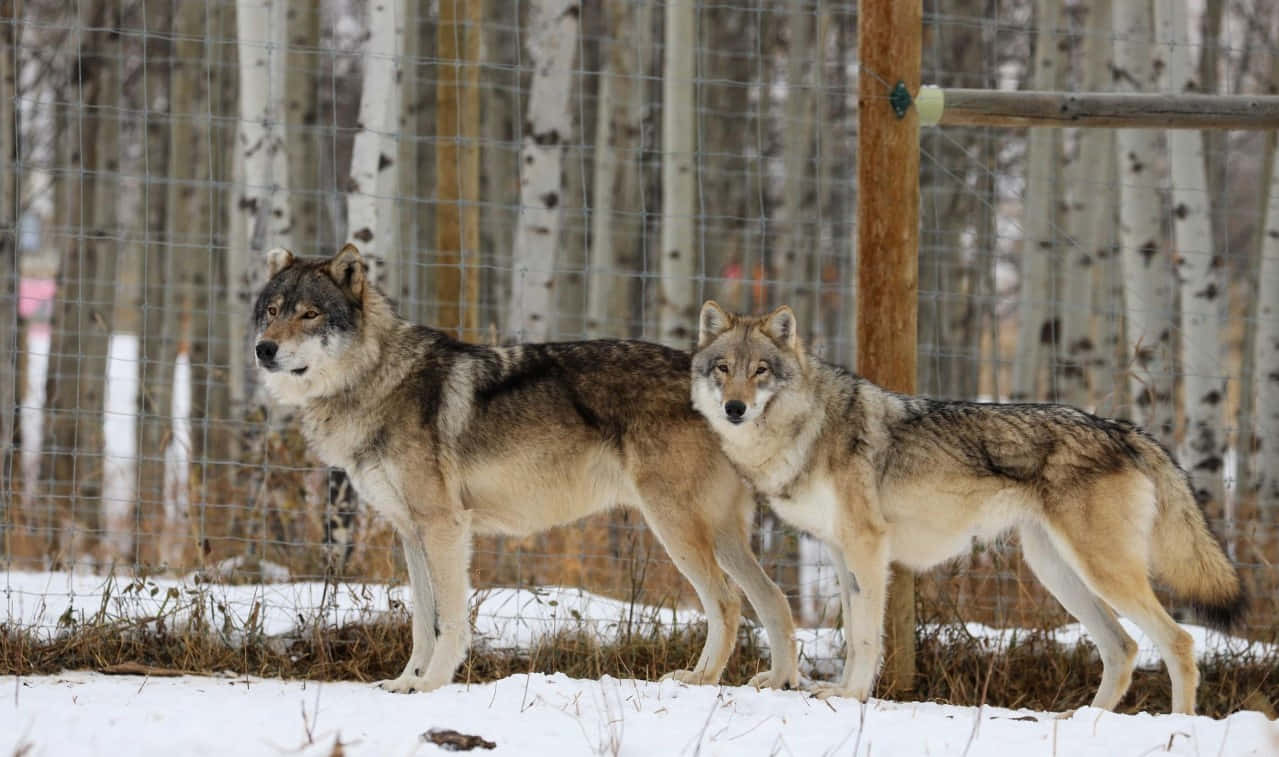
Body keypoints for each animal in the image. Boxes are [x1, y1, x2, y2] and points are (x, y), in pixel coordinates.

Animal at [246, 245, 798, 695]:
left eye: (310, 314)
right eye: (272, 312)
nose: (263, 349)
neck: (378, 378)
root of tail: (721, 389)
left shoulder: (444, 527)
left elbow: (450, 619)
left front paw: (432, 685)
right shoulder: (410, 532)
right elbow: (422, 623)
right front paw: (406, 681)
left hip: (674, 527)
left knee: (726, 601)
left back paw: (702, 680)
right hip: (716, 535)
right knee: (771, 597)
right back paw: (778, 680)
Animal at [695, 299, 1243, 710]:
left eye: (760, 371)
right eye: (723, 369)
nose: (735, 408)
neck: (806, 425)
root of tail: (1125, 430)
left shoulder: (868, 548)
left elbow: (867, 636)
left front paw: (851, 697)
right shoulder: (837, 551)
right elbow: (853, 630)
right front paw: (841, 691)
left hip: (1099, 571)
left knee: (1179, 641)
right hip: (1057, 570)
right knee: (1124, 647)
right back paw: (1081, 721)